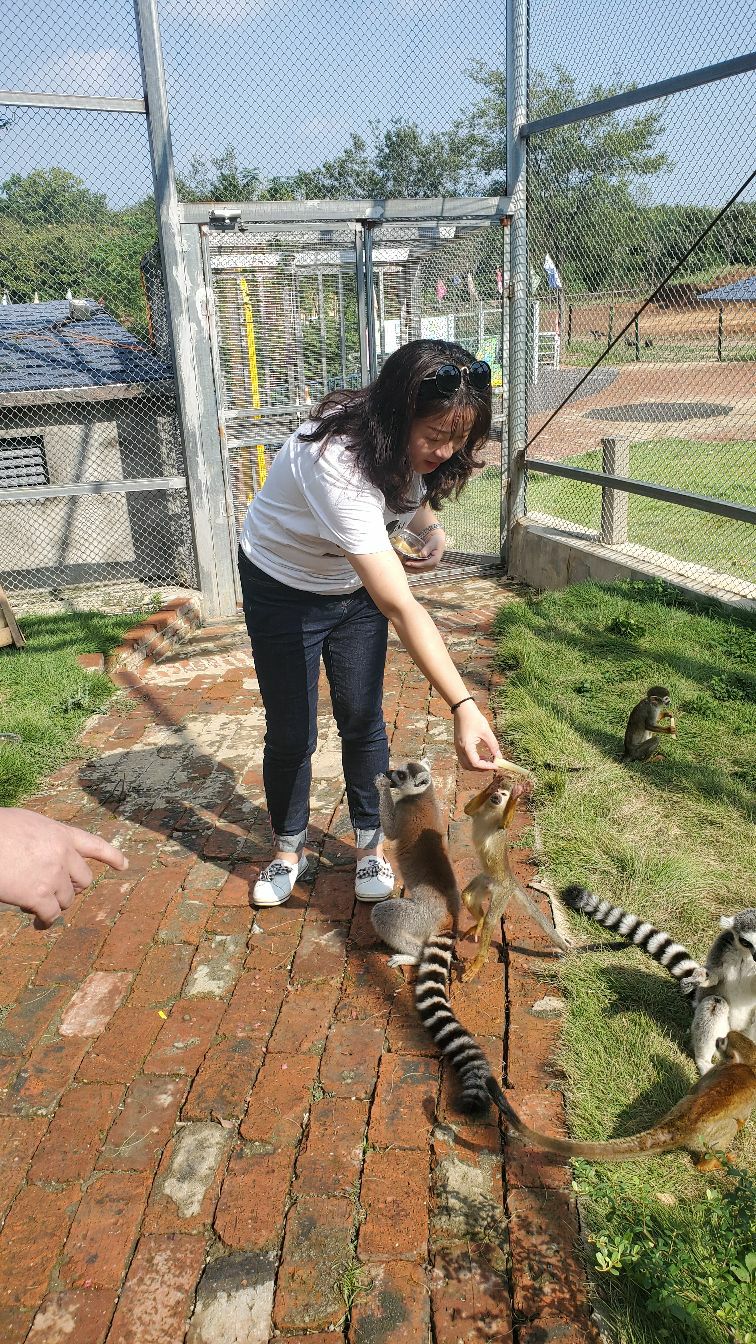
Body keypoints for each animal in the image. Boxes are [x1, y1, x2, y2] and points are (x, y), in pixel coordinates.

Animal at [457, 763, 567, 983]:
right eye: (498, 793)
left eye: (504, 795)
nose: (497, 796)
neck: (492, 810)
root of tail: (510, 878)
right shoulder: (478, 811)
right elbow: (467, 809)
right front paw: (492, 783)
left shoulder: (500, 824)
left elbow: (505, 824)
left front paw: (517, 795)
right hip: (485, 880)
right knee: (468, 896)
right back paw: (478, 922)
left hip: (502, 892)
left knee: (491, 919)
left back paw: (479, 959)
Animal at [489, 1032, 753, 1171]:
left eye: (723, 1041)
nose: (717, 1039)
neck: (748, 1067)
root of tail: (684, 1124)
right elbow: (741, 1119)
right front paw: (742, 1128)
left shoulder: (718, 1070)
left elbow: (695, 1088)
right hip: (705, 1137)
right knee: (728, 1127)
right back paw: (710, 1164)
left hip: (683, 1107)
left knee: (689, 1097)